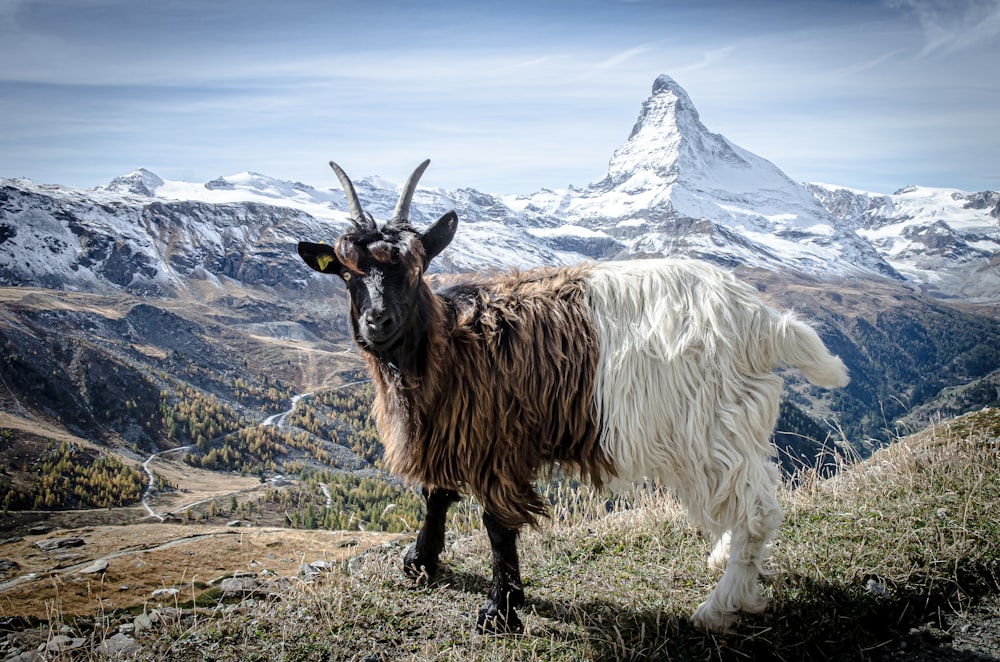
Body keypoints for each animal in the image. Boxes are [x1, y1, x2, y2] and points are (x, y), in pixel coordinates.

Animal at [292, 158, 848, 636]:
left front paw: (499, 611)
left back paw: (721, 606)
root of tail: (759, 317)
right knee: (751, 492)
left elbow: (496, 525)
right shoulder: (453, 428)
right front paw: (420, 561)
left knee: (757, 510)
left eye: (416, 267)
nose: (378, 322)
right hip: (731, 426)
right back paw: (729, 566)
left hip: (709, 426)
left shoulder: (497, 442)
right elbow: (437, 493)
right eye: (347, 273)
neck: (448, 340)